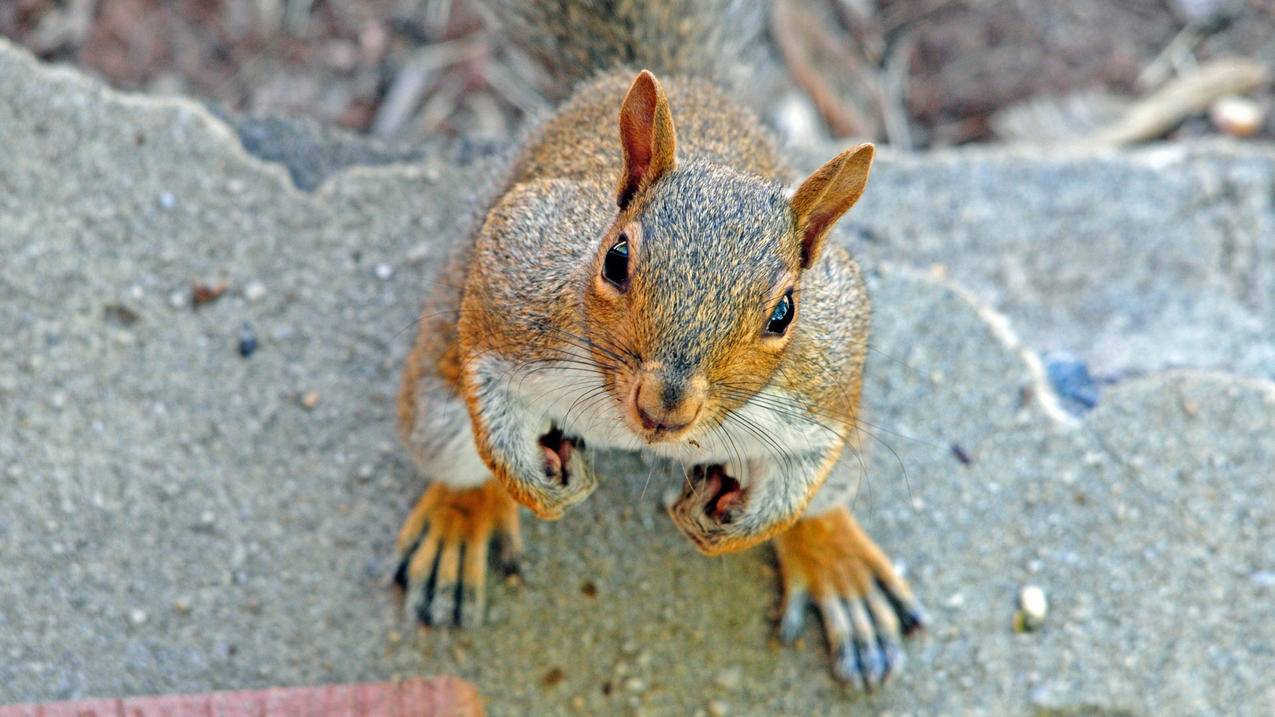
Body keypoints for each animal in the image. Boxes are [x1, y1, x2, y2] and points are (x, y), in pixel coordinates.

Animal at [392, 0, 923, 688]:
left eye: (785, 312)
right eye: (615, 258)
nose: (664, 406)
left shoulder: (824, 373)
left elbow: (805, 468)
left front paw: (744, 528)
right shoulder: (514, 271)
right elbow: (487, 388)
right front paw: (529, 483)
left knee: (826, 500)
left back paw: (839, 563)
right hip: (437, 396)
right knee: (452, 446)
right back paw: (459, 518)